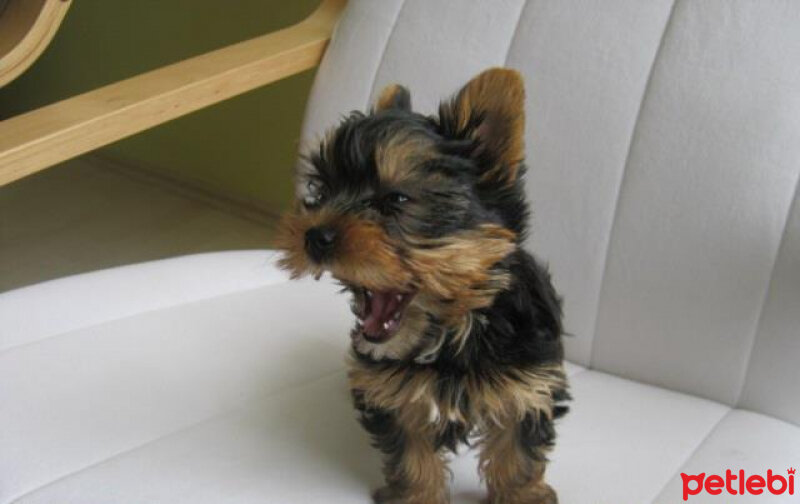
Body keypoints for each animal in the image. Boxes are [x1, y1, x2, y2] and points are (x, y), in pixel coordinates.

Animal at [276, 68, 568, 504]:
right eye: (322, 190)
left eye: (396, 200)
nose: (314, 235)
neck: (457, 330)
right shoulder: (394, 391)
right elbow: (411, 453)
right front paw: (416, 493)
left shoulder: (528, 382)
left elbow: (516, 448)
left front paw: (521, 494)